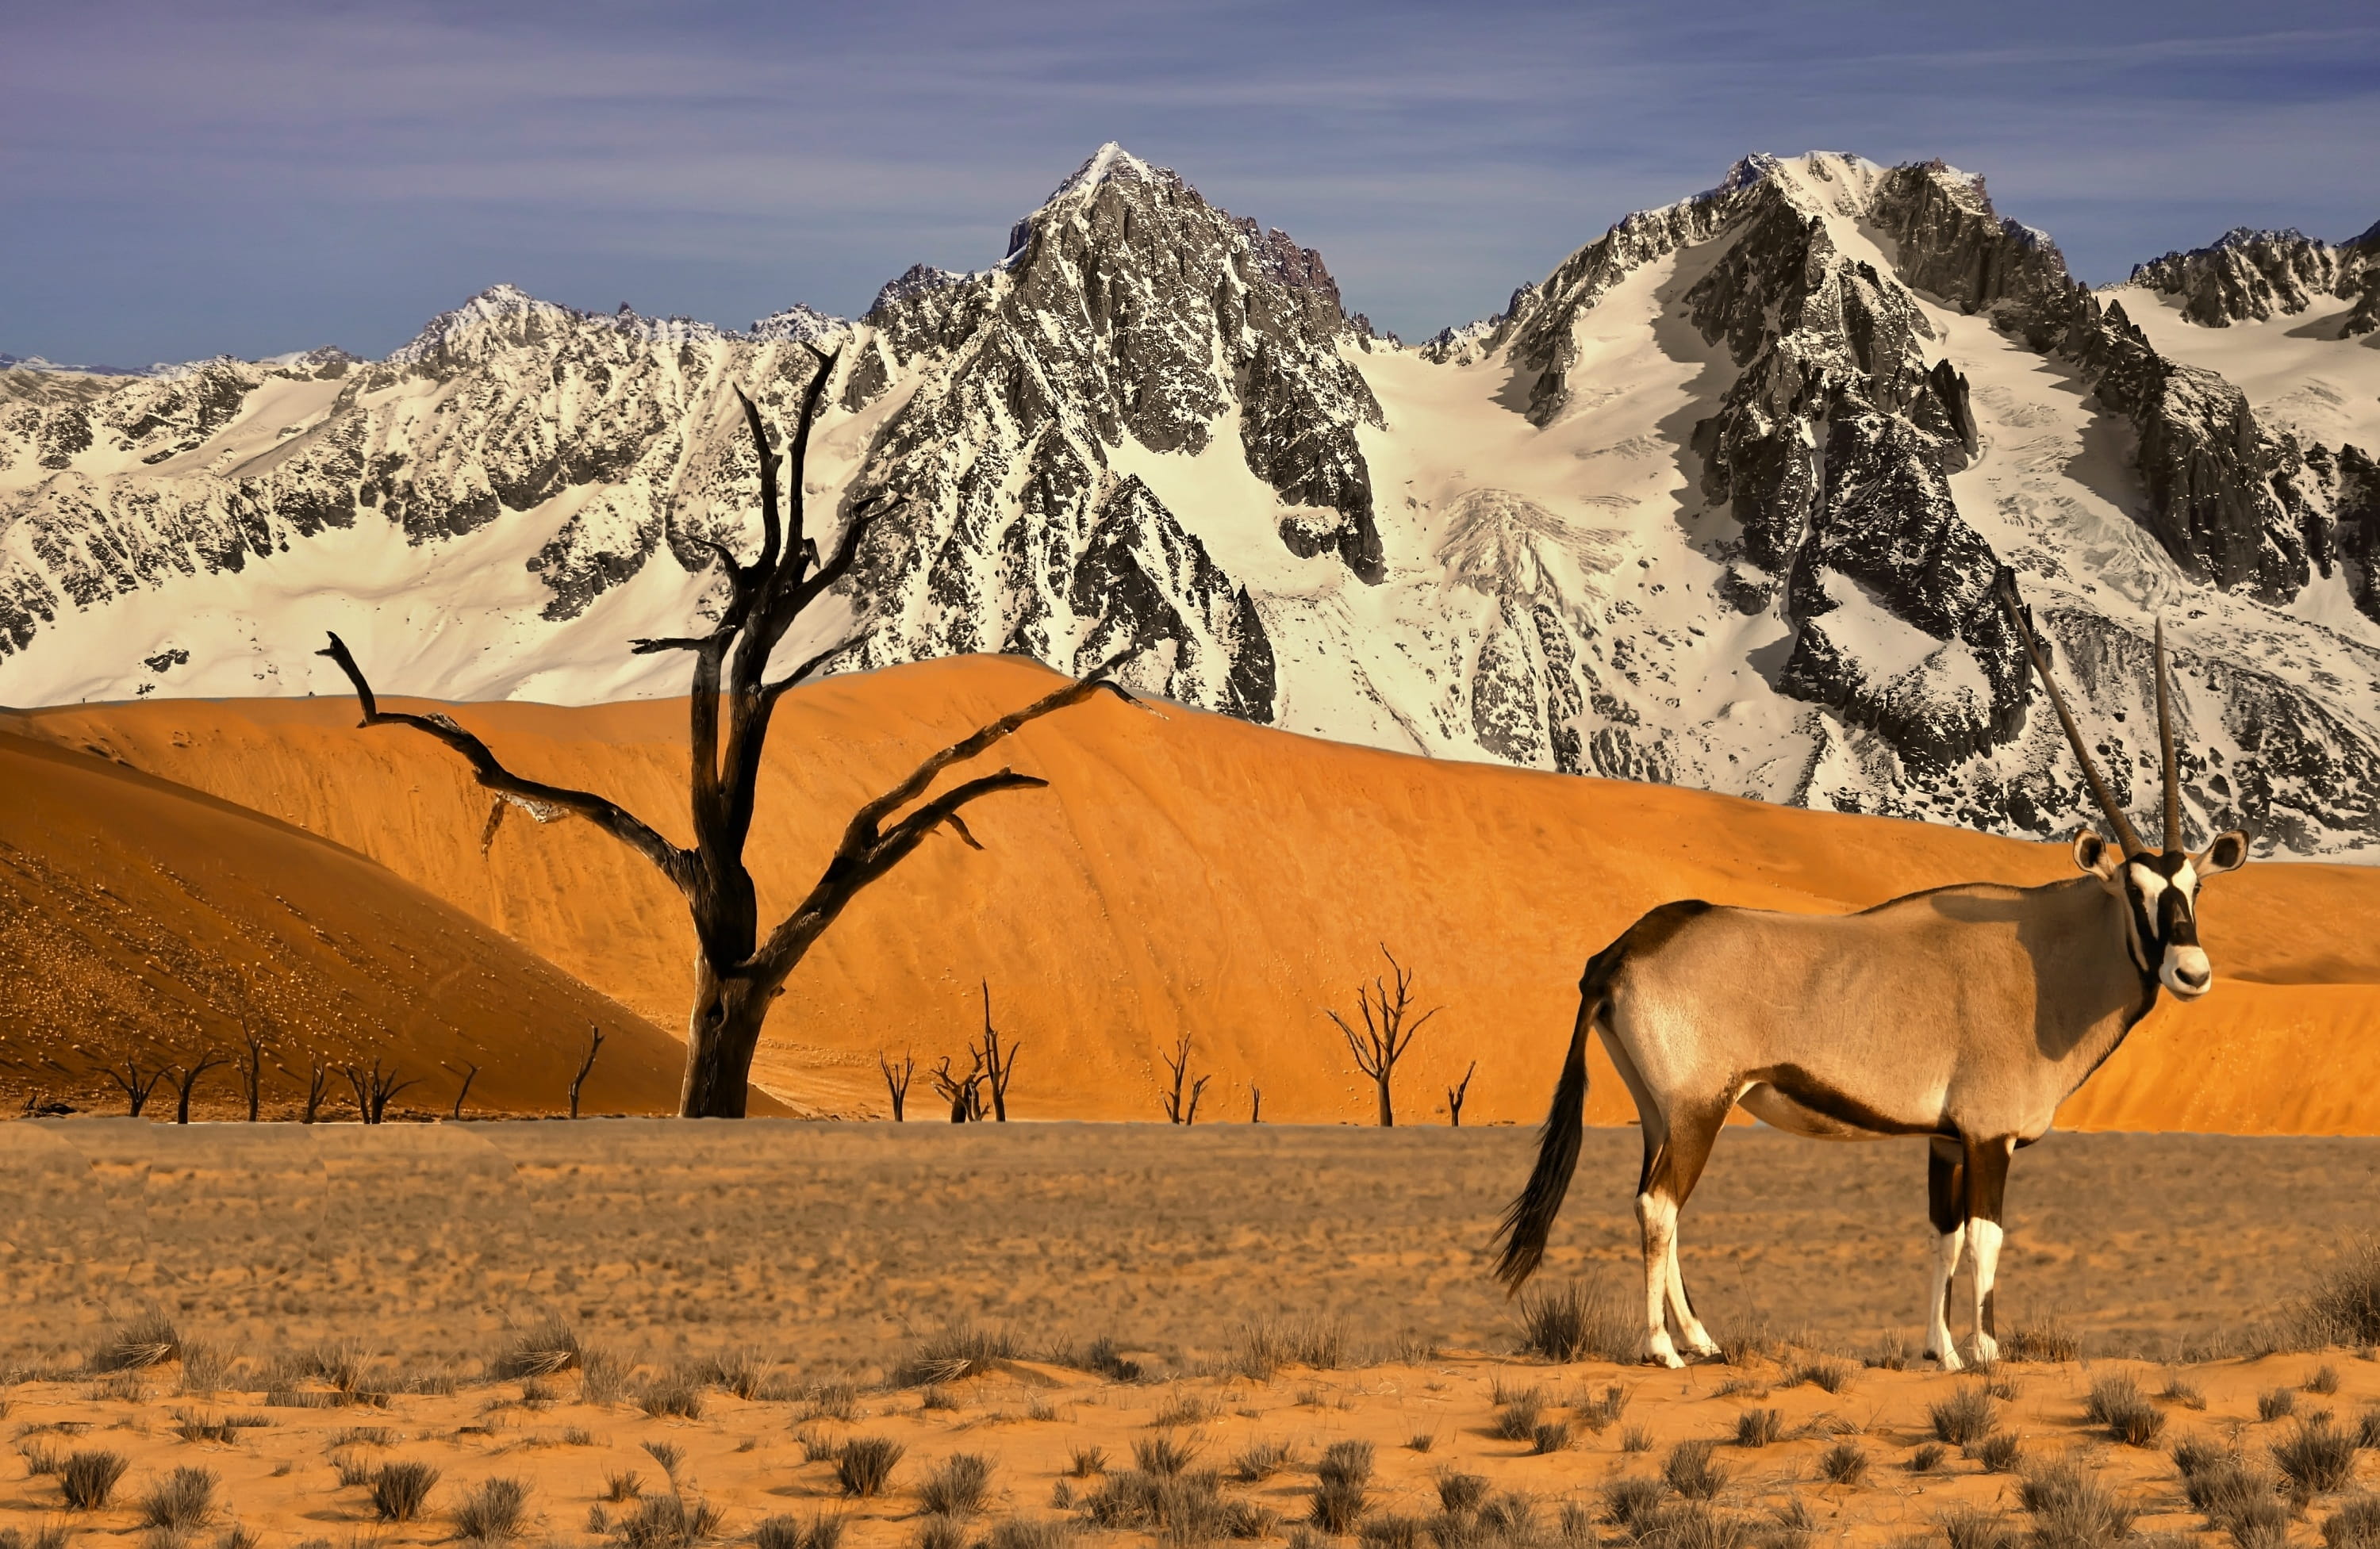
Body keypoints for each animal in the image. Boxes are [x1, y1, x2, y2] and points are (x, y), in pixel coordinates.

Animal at [1492, 583, 2249, 1369]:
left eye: (2194, 887)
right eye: (2135, 891)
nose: (2192, 971)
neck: (2043, 957)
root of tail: (1621, 950)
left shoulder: (1945, 1138)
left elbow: (1945, 1238)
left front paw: (1941, 1351)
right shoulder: (1989, 1137)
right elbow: (1986, 1240)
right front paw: (1986, 1351)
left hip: (1658, 1112)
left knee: (1653, 1198)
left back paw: (1701, 1337)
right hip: (1701, 1106)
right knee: (1659, 1204)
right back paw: (1663, 1347)